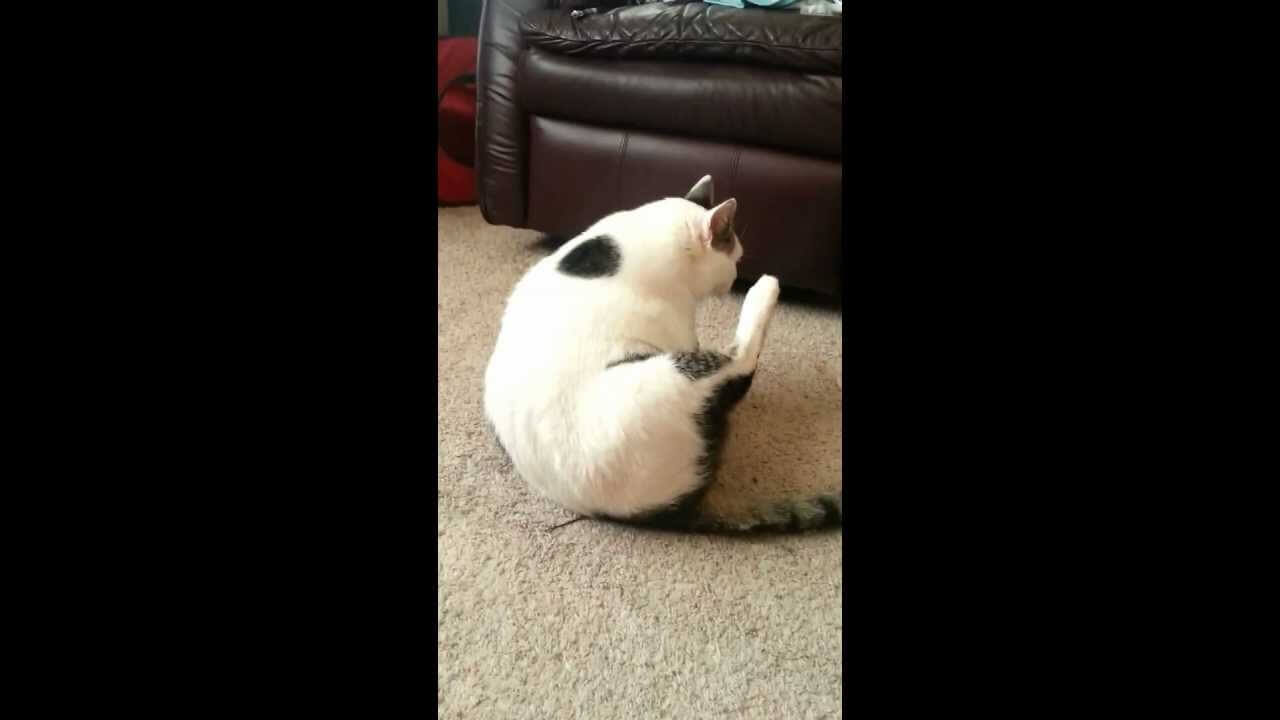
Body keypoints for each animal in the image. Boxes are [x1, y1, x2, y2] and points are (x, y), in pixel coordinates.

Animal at [483, 175, 841, 533]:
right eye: (734, 258)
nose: (734, 279)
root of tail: (665, 513)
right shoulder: (681, 330)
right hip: (676, 375)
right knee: (741, 362)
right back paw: (765, 290)